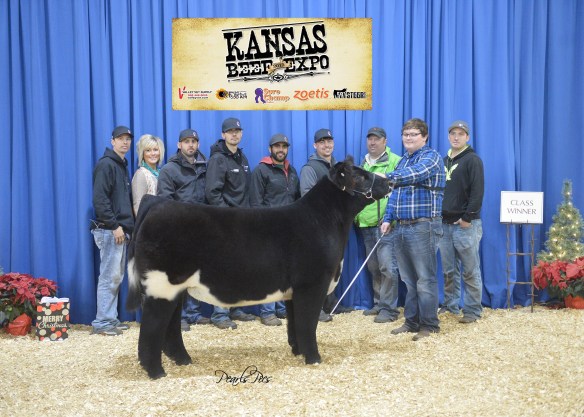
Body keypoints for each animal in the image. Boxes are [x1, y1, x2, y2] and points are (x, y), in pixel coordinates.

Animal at [126, 157, 393, 379]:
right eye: (359, 176)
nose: (390, 181)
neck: (323, 220)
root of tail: (157, 203)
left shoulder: (294, 291)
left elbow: (295, 324)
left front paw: (297, 352)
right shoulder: (312, 285)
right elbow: (308, 323)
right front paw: (314, 358)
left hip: (174, 289)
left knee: (170, 326)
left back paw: (182, 360)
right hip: (161, 286)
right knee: (152, 327)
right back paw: (156, 371)